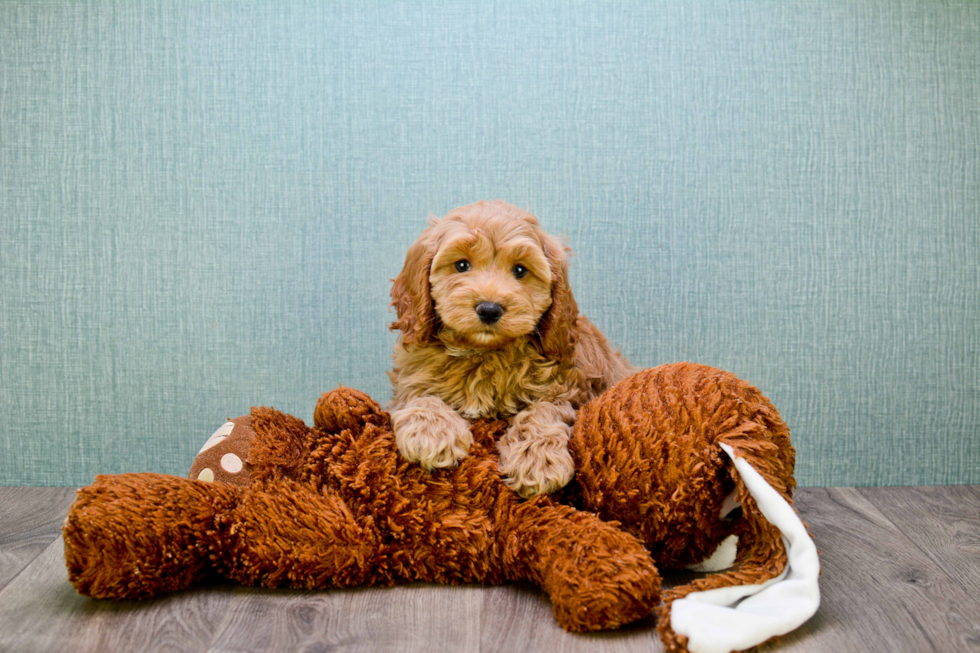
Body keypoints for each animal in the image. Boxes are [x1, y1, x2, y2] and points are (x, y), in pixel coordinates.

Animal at [386, 201, 632, 496]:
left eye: (520, 271)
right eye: (461, 265)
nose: (489, 309)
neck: (485, 353)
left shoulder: (568, 389)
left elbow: (543, 411)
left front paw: (536, 459)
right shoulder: (411, 377)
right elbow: (419, 395)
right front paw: (432, 433)